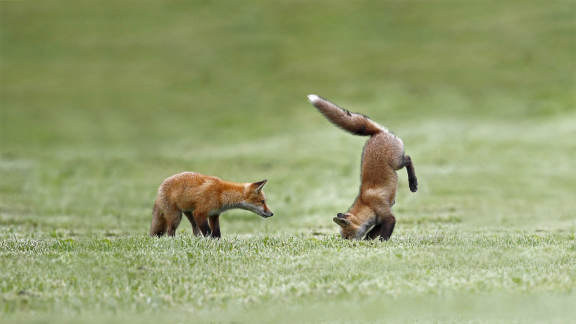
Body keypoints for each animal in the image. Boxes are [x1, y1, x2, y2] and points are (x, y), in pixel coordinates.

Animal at [306, 93, 418, 240]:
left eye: (347, 237)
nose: (345, 243)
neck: (367, 204)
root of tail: (376, 133)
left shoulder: (387, 216)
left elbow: (385, 234)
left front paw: (382, 242)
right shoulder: (378, 221)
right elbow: (371, 234)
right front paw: (368, 241)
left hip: (396, 162)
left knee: (409, 159)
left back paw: (413, 183)